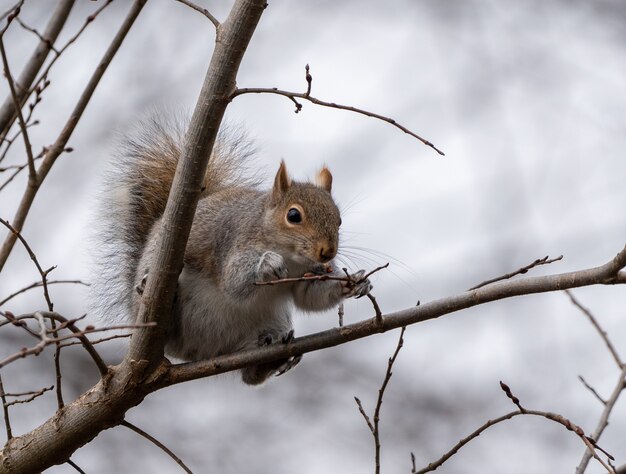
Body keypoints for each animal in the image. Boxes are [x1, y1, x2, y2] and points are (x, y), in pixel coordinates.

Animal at [92, 117, 370, 386]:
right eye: (293, 216)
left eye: (339, 220)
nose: (328, 253)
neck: (292, 258)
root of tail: (203, 352)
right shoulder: (234, 243)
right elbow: (233, 283)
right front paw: (268, 263)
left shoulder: (308, 273)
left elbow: (310, 296)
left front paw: (355, 281)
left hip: (272, 320)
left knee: (251, 376)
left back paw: (269, 360)